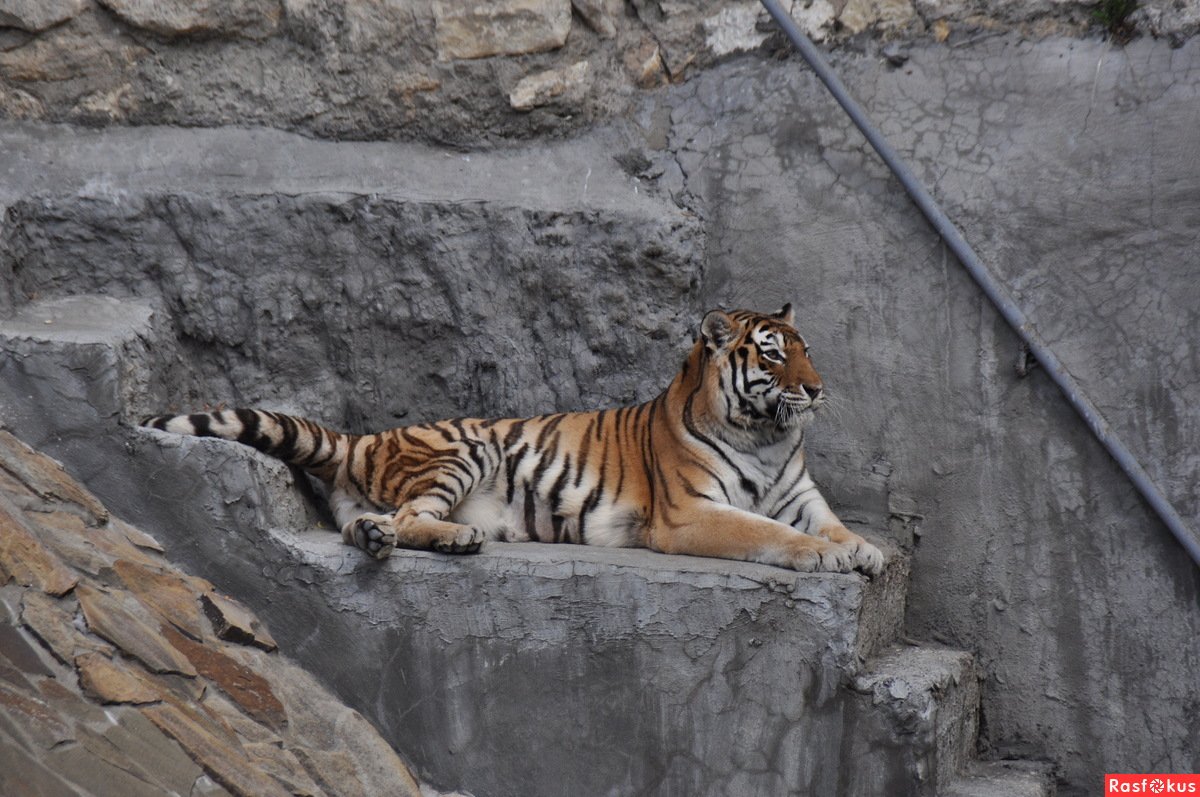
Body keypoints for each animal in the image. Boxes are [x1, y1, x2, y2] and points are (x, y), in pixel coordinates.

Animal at [145, 303, 888, 573]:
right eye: (773, 356)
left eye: (807, 351)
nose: (817, 389)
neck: (768, 436)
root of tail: (364, 440)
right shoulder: (691, 513)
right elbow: (767, 532)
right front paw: (826, 558)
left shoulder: (801, 496)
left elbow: (832, 523)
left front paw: (866, 551)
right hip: (464, 450)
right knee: (413, 515)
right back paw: (453, 538)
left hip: (381, 497)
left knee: (375, 523)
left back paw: (383, 539)